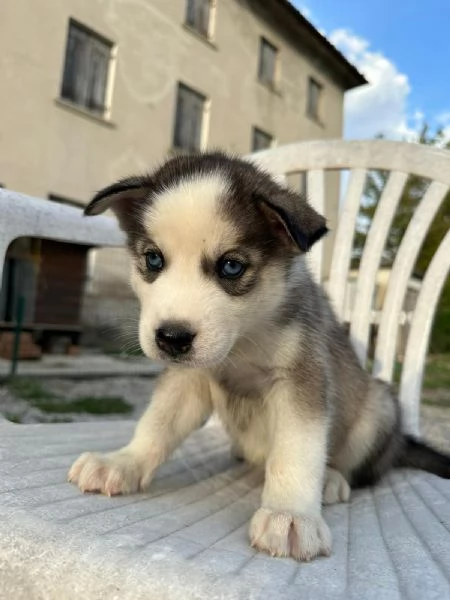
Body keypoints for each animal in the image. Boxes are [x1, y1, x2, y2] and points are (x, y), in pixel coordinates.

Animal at [67, 151, 450, 564]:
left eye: (231, 266)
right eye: (153, 260)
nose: (171, 338)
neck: (243, 342)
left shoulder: (302, 379)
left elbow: (297, 448)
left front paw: (291, 514)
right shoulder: (189, 378)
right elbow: (157, 423)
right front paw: (123, 461)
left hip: (379, 406)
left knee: (359, 468)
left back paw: (331, 479)